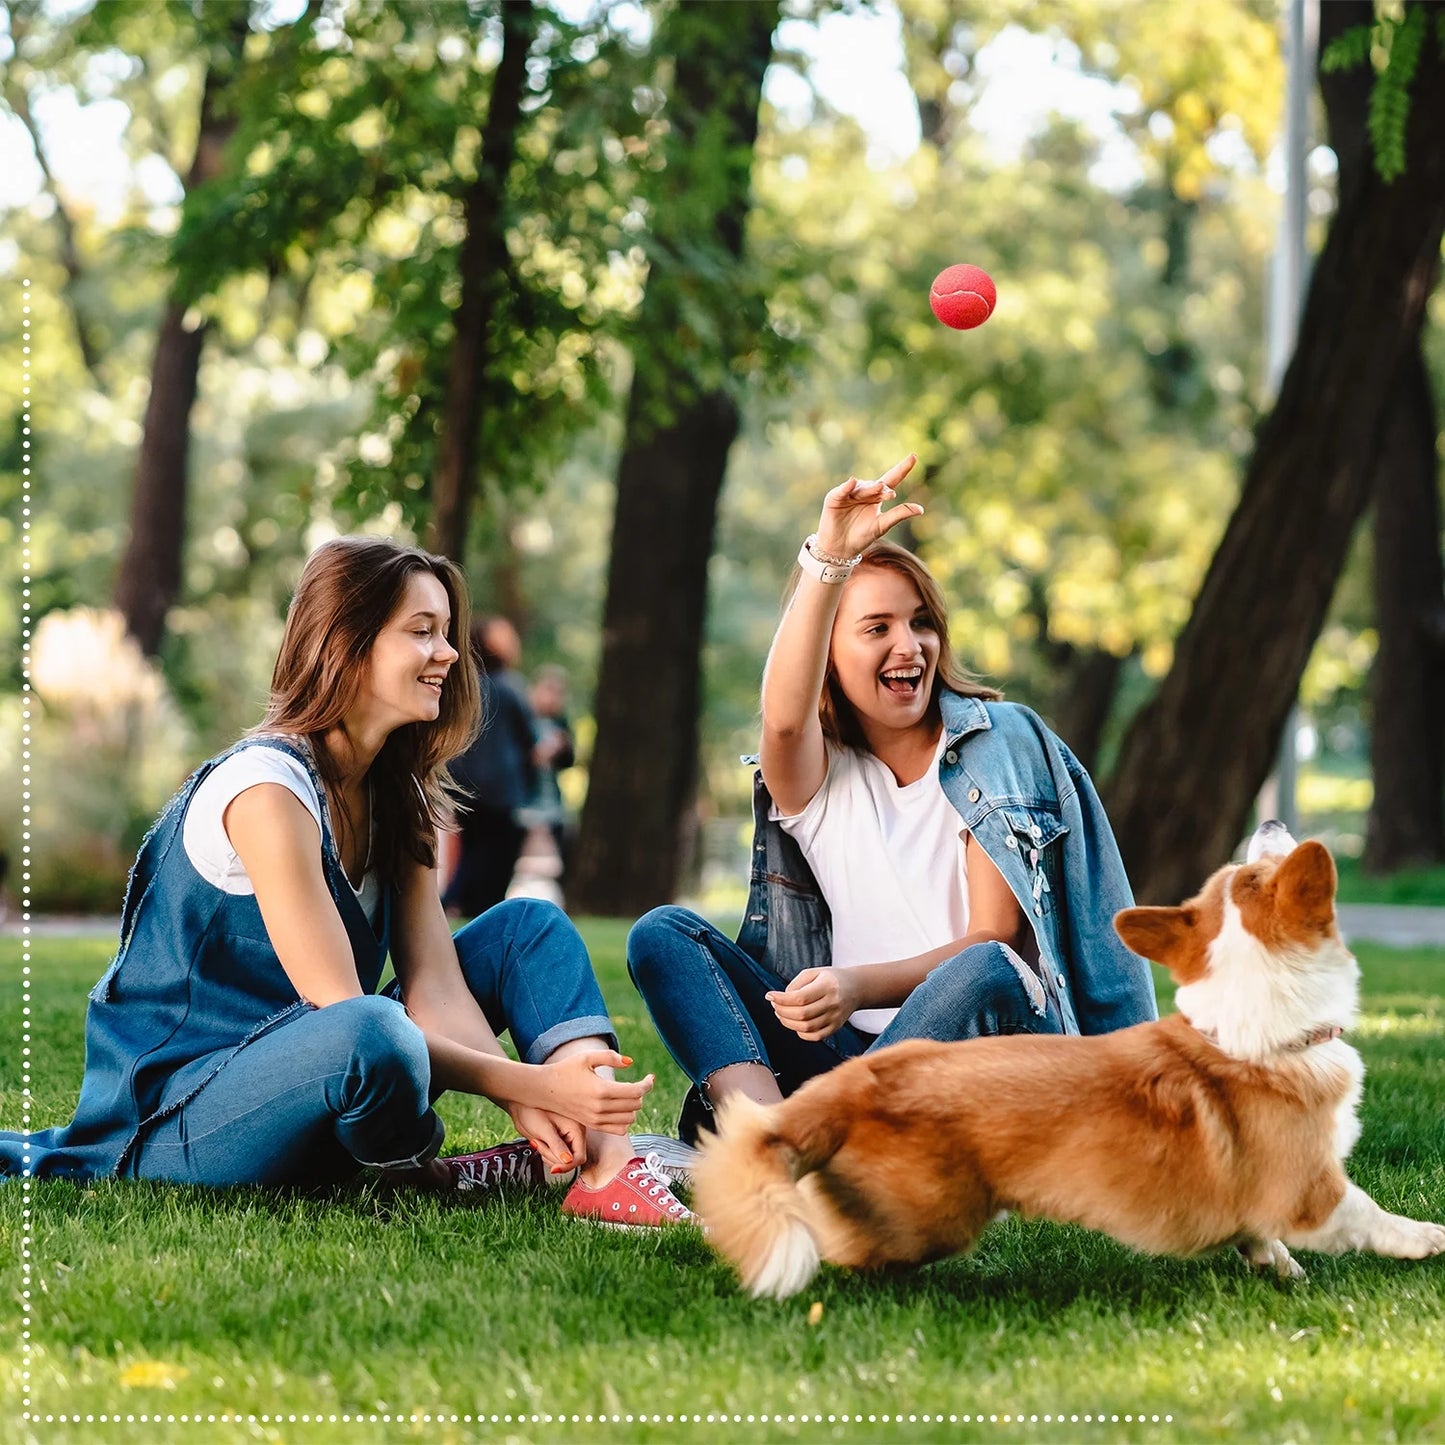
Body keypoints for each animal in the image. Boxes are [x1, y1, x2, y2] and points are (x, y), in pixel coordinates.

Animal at [690, 826, 1445, 1300]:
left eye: (1239, 877)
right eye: (1258, 871)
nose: (1270, 816)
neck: (1255, 1018)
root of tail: (844, 1089)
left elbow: (1262, 1237)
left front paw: (1279, 1269)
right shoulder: (1312, 1190)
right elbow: (1368, 1214)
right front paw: (1426, 1238)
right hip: (930, 1218)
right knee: (834, 1241)